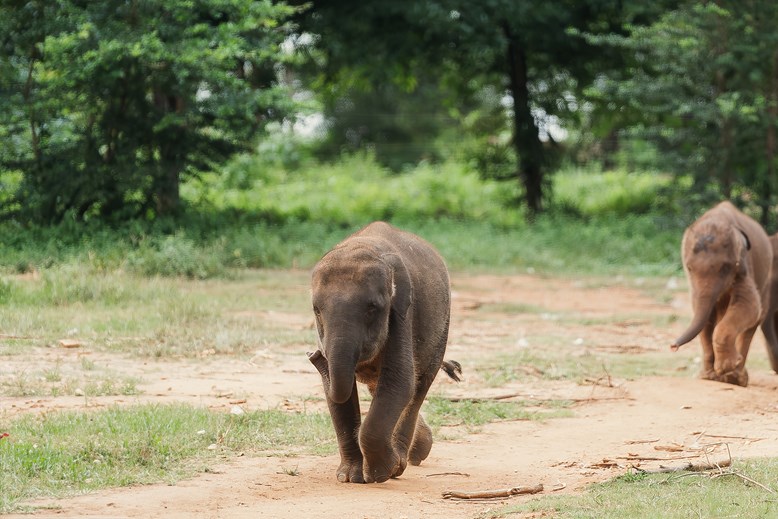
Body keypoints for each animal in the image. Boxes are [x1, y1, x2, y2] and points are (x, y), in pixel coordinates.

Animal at [308, 221, 458, 486]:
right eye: (317, 310)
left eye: (372, 308)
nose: (315, 355)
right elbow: (337, 395)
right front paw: (349, 477)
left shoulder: (402, 313)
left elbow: (399, 381)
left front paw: (382, 472)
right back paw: (419, 450)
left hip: (442, 327)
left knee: (418, 386)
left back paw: (401, 463)